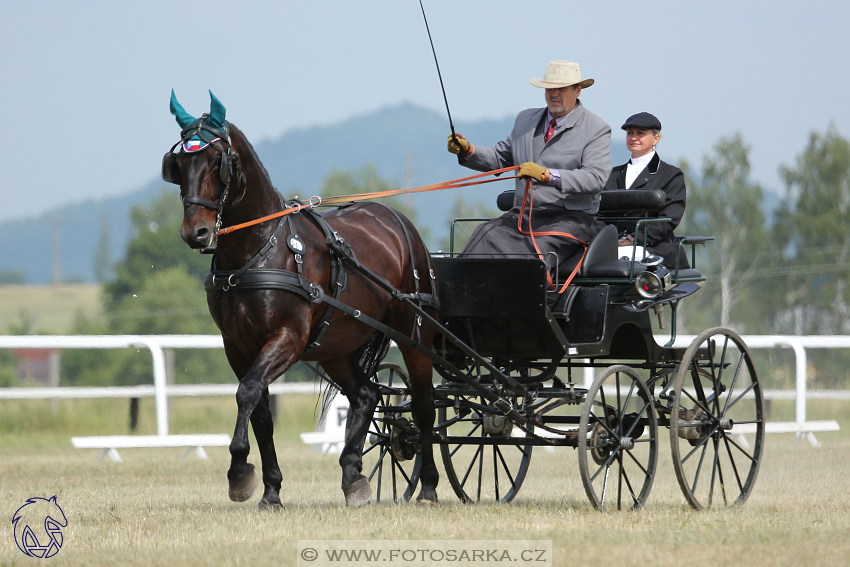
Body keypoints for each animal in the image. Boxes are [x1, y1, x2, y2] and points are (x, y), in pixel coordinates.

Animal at [161, 91, 438, 508]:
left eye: (217, 161)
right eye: (178, 164)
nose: (196, 232)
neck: (258, 251)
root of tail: (397, 221)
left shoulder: (288, 337)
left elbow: (247, 393)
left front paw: (239, 471)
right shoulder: (237, 346)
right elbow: (260, 411)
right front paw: (271, 489)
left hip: (413, 332)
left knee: (423, 404)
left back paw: (430, 486)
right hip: (335, 345)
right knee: (366, 394)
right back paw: (353, 476)